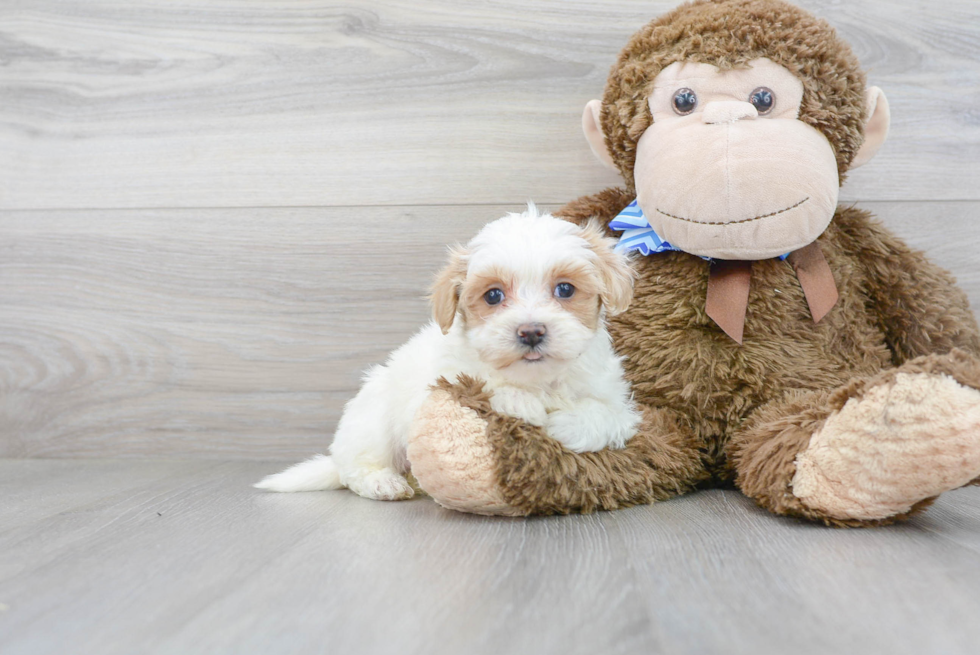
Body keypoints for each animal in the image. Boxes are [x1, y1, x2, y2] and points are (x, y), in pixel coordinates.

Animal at [256, 205, 644, 502]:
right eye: (493, 295)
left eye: (565, 289)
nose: (531, 332)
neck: (538, 380)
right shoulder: (442, 377)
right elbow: (482, 382)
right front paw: (522, 403)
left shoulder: (615, 398)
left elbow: (608, 416)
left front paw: (568, 422)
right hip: (371, 421)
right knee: (358, 468)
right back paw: (385, 482)